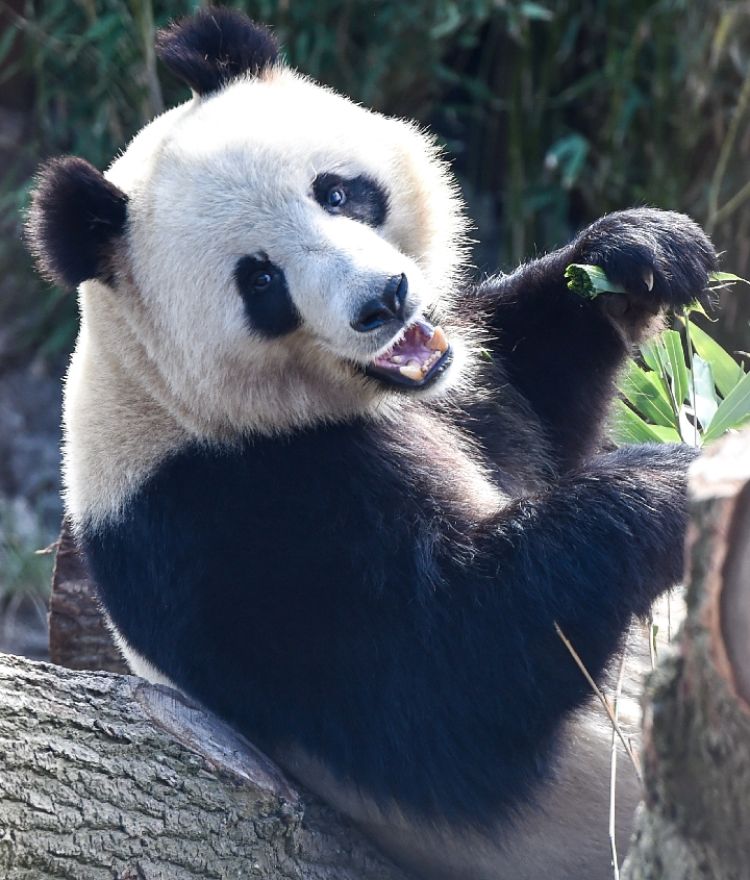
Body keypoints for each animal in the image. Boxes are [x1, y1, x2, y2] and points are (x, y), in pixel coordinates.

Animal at [25, 8, 716, 879]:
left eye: (337, 191)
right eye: (260, 281)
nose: (382, 301)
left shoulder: (468, 394)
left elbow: (536, 393)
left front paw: (638, 253)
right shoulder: (219, 525)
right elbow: (447, 677)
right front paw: (671, 484)